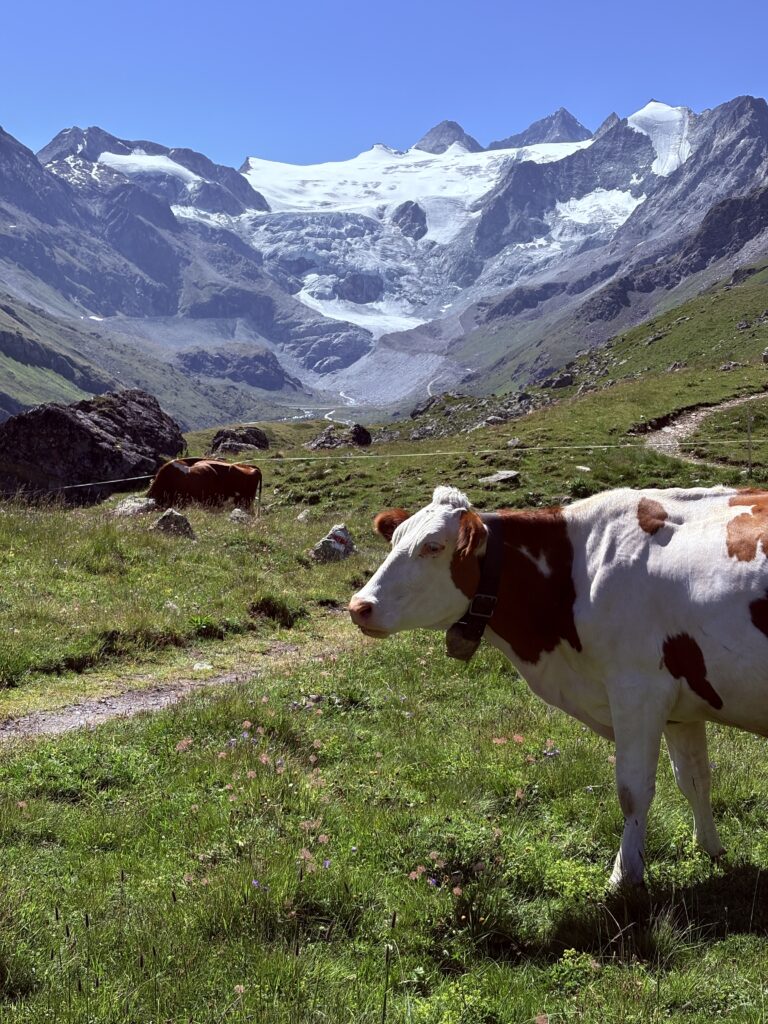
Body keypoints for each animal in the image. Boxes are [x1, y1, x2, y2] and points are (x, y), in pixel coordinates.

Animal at [349, 484, 768, 889]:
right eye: (395, 539)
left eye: (433, 546)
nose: (358, 606)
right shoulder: (682, 705)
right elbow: (695, 779)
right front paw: (711, 849)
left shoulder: (637, 690)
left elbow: (633, 790)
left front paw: (625, 876)